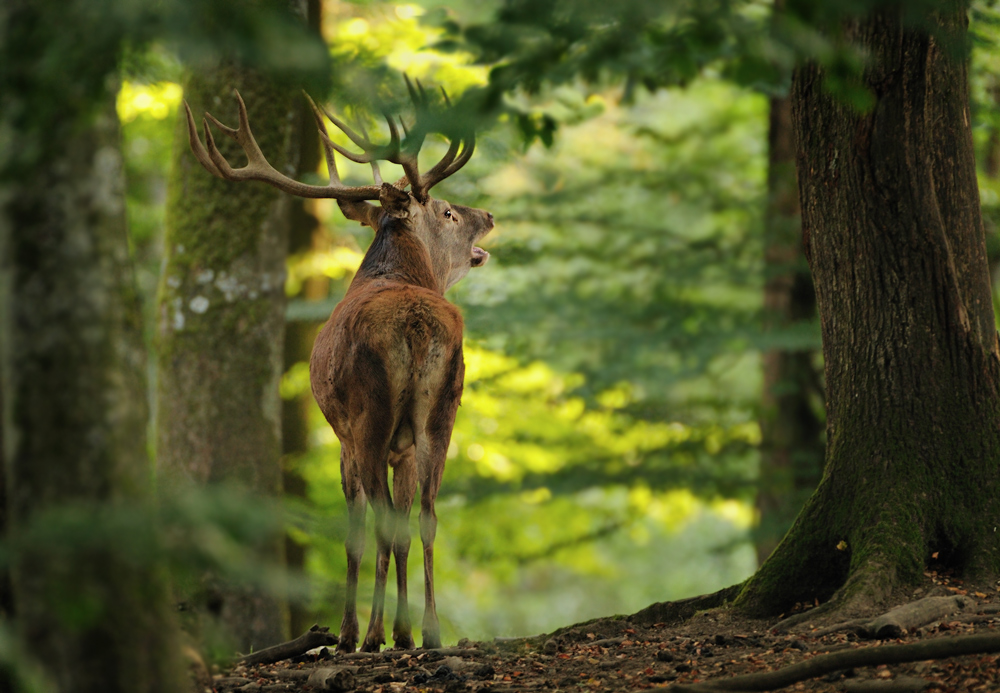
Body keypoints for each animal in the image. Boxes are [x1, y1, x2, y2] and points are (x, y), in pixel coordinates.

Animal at [183, 84, 492, 652]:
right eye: (447, 213)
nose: (488, 214)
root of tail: (416, 323)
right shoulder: (400, 448)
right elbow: (401, 522)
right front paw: (391, 630)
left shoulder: (344, 437)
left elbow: (354, 533)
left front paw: (350, 632)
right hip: (441, 412)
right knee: (427, 515)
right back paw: (426, 633)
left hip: (370, 416)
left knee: (383, 519)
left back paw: (376, 634)